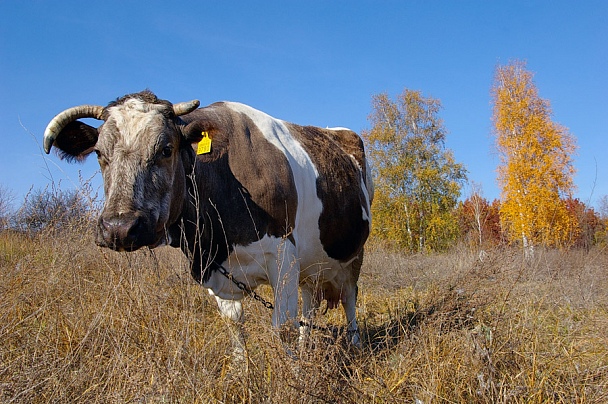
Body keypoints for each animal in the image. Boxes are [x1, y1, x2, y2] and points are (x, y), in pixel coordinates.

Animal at [42, 90, 372, 354]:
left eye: (166, 149)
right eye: (99, 153)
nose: (119, 228)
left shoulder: (283, 257)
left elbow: (283, 327)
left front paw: (292, 377)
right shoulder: (217, 271)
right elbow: (234, 325)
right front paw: (242, 373)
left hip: (353, 255)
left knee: (349, 298)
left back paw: (356, 346)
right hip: (311, 265)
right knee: (310, 306)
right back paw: (307, 348)